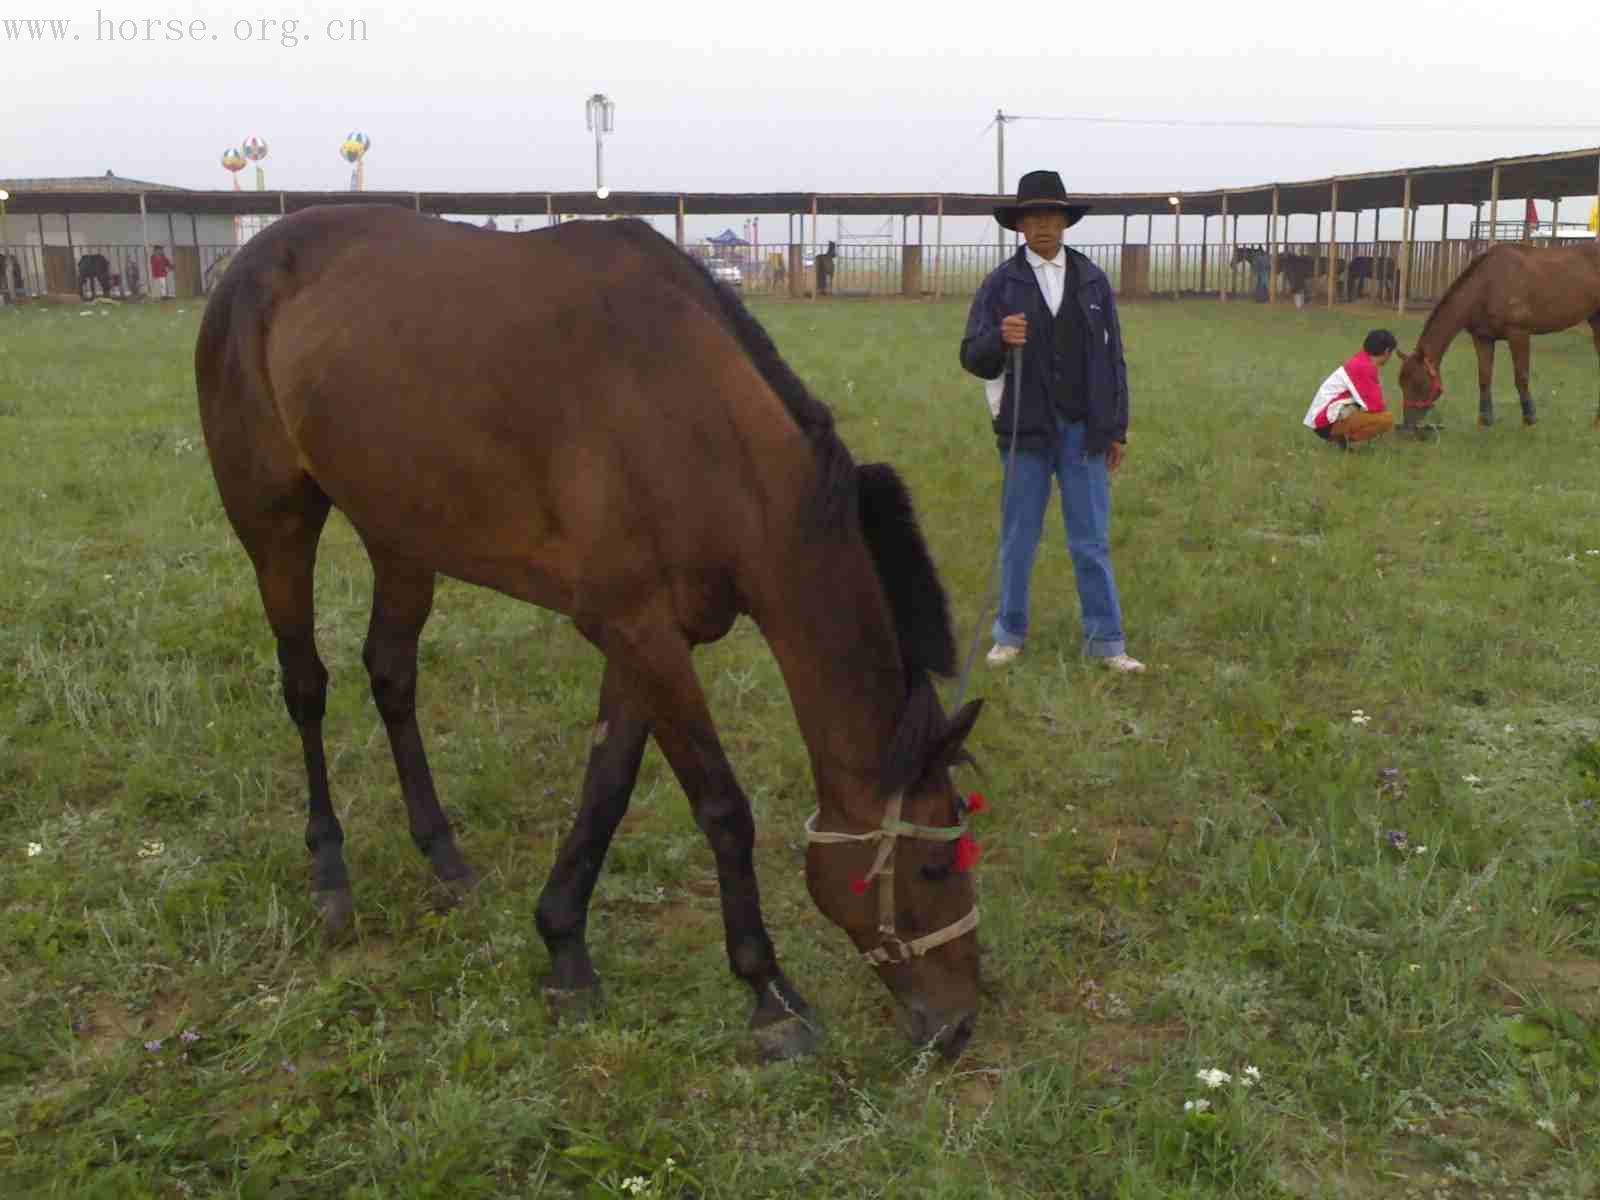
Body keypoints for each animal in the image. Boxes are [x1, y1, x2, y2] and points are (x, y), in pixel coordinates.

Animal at [193, 204, 979, 1062]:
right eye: (935, 866)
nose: (959, 1025)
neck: (699, 425)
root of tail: (251, 262)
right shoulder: (635, 628)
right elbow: (722, 808)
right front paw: (770, 992)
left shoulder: (649, 637)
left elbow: (605, 789)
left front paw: (565, 948)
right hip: (275, 523)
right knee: (306, 686)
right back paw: (329, 871)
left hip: (399, 535)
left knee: (392, 676)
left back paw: (443, 855)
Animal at [1395, 240, 1600, 428]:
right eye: (1401, 384)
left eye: (1418, 383)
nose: (1408, 426)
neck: (1487, 285)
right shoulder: (1482, 338)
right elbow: (1484, 377)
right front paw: (1485, 420)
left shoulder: (1518, 333)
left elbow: (1521, 376)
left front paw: (1530, 417)